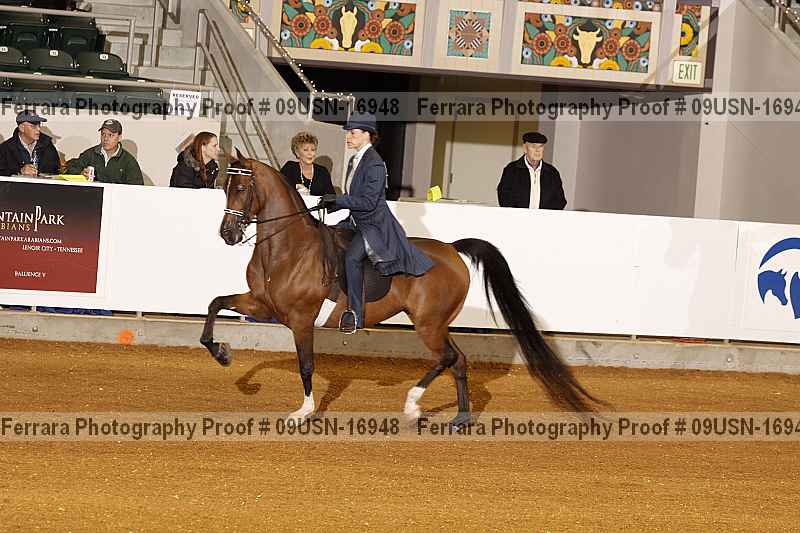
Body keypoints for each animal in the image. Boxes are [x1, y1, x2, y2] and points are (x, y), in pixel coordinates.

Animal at [201, 153, 603, 426]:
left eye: (241, 188)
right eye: (224, 187)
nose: (227, 235)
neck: (288, 248)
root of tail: (452, 250)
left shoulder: (300, 319)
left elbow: (306, 364)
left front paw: (304, 411)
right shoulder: (264, 305)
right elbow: (215, 304)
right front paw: (222, 354)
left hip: (428, 324)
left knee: (447, 358)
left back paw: (412, 405)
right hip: (436, 324)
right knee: (459, 360)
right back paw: (460, 419)